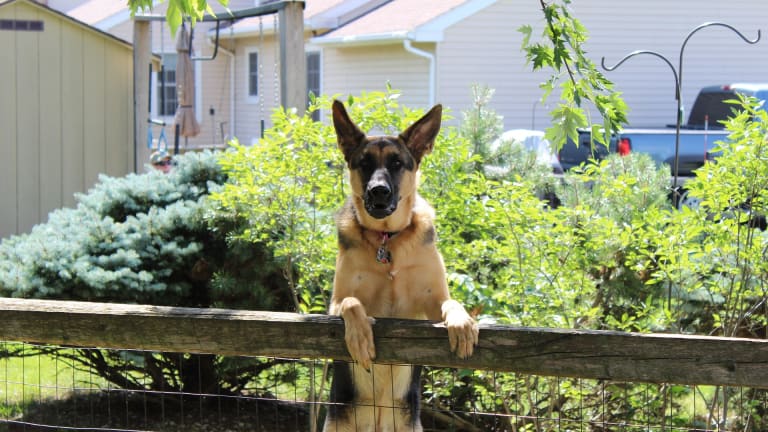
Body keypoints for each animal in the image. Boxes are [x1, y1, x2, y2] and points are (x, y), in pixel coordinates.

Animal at [324, 99, 480, 430]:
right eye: (364, 163)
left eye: (397, 163)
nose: (378, 191)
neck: (388, 240)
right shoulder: (334, 304)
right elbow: (352, 303)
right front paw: (360, 337)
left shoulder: (430, 306)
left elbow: (452, 303)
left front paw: (462, 324)